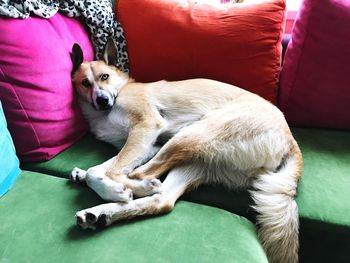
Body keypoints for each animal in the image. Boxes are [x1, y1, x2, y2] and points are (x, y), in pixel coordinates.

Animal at [70, 39, 300, 263]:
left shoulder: (146, 127)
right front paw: (85, 175)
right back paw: (100, 214)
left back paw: (140, 188)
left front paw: (115, 189)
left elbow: (113, 170)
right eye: (85, 83)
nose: (102, 100)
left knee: (143, 176)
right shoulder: (147, 145)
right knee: (162, 200)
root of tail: (290, 141)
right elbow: (99, 169)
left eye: (104, 76)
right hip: (194, 162)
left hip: (192, 134)